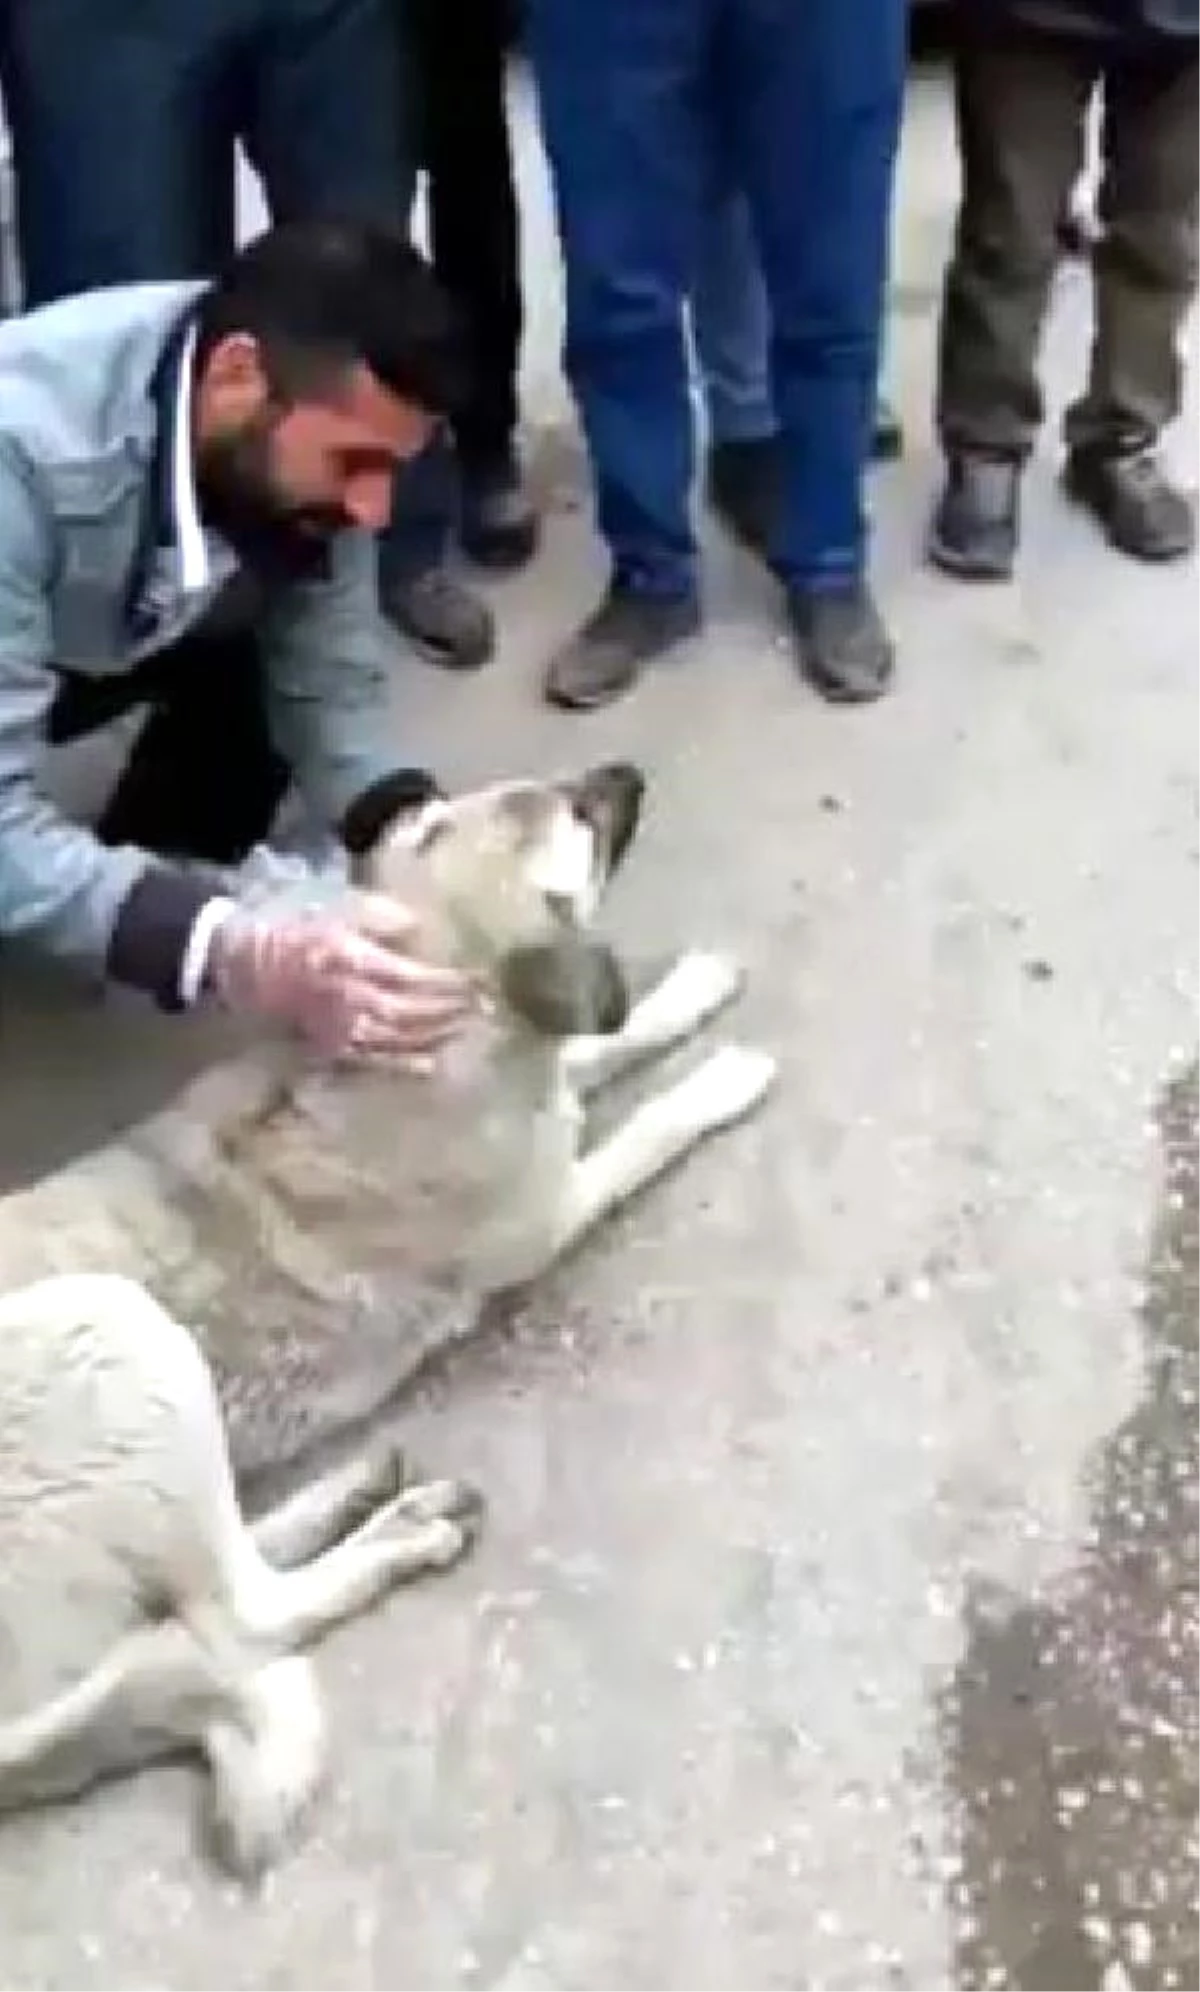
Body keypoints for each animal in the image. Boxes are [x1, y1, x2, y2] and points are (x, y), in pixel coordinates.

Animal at [0, 752, 769, 1872]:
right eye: (581, 815)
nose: (622, 768)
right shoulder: (551, 1208)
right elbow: (648, 1127)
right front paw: (721, 1079)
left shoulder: (548, 1094)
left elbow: (604, 1052)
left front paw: (691, 990)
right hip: (112, 1328)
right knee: (241, 1617)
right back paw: (397, 1533)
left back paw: (352, 1491)